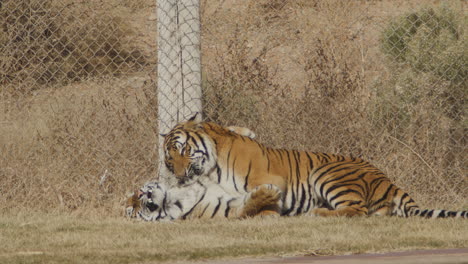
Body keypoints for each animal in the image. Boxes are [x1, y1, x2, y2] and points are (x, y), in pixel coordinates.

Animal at [162, 113, 468, 219]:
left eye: (184, 150)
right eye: (169, 159)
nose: (178, 176)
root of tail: (387, 179)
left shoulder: (269, 178)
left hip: (326, 172)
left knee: (356, 211)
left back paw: (315, 213)